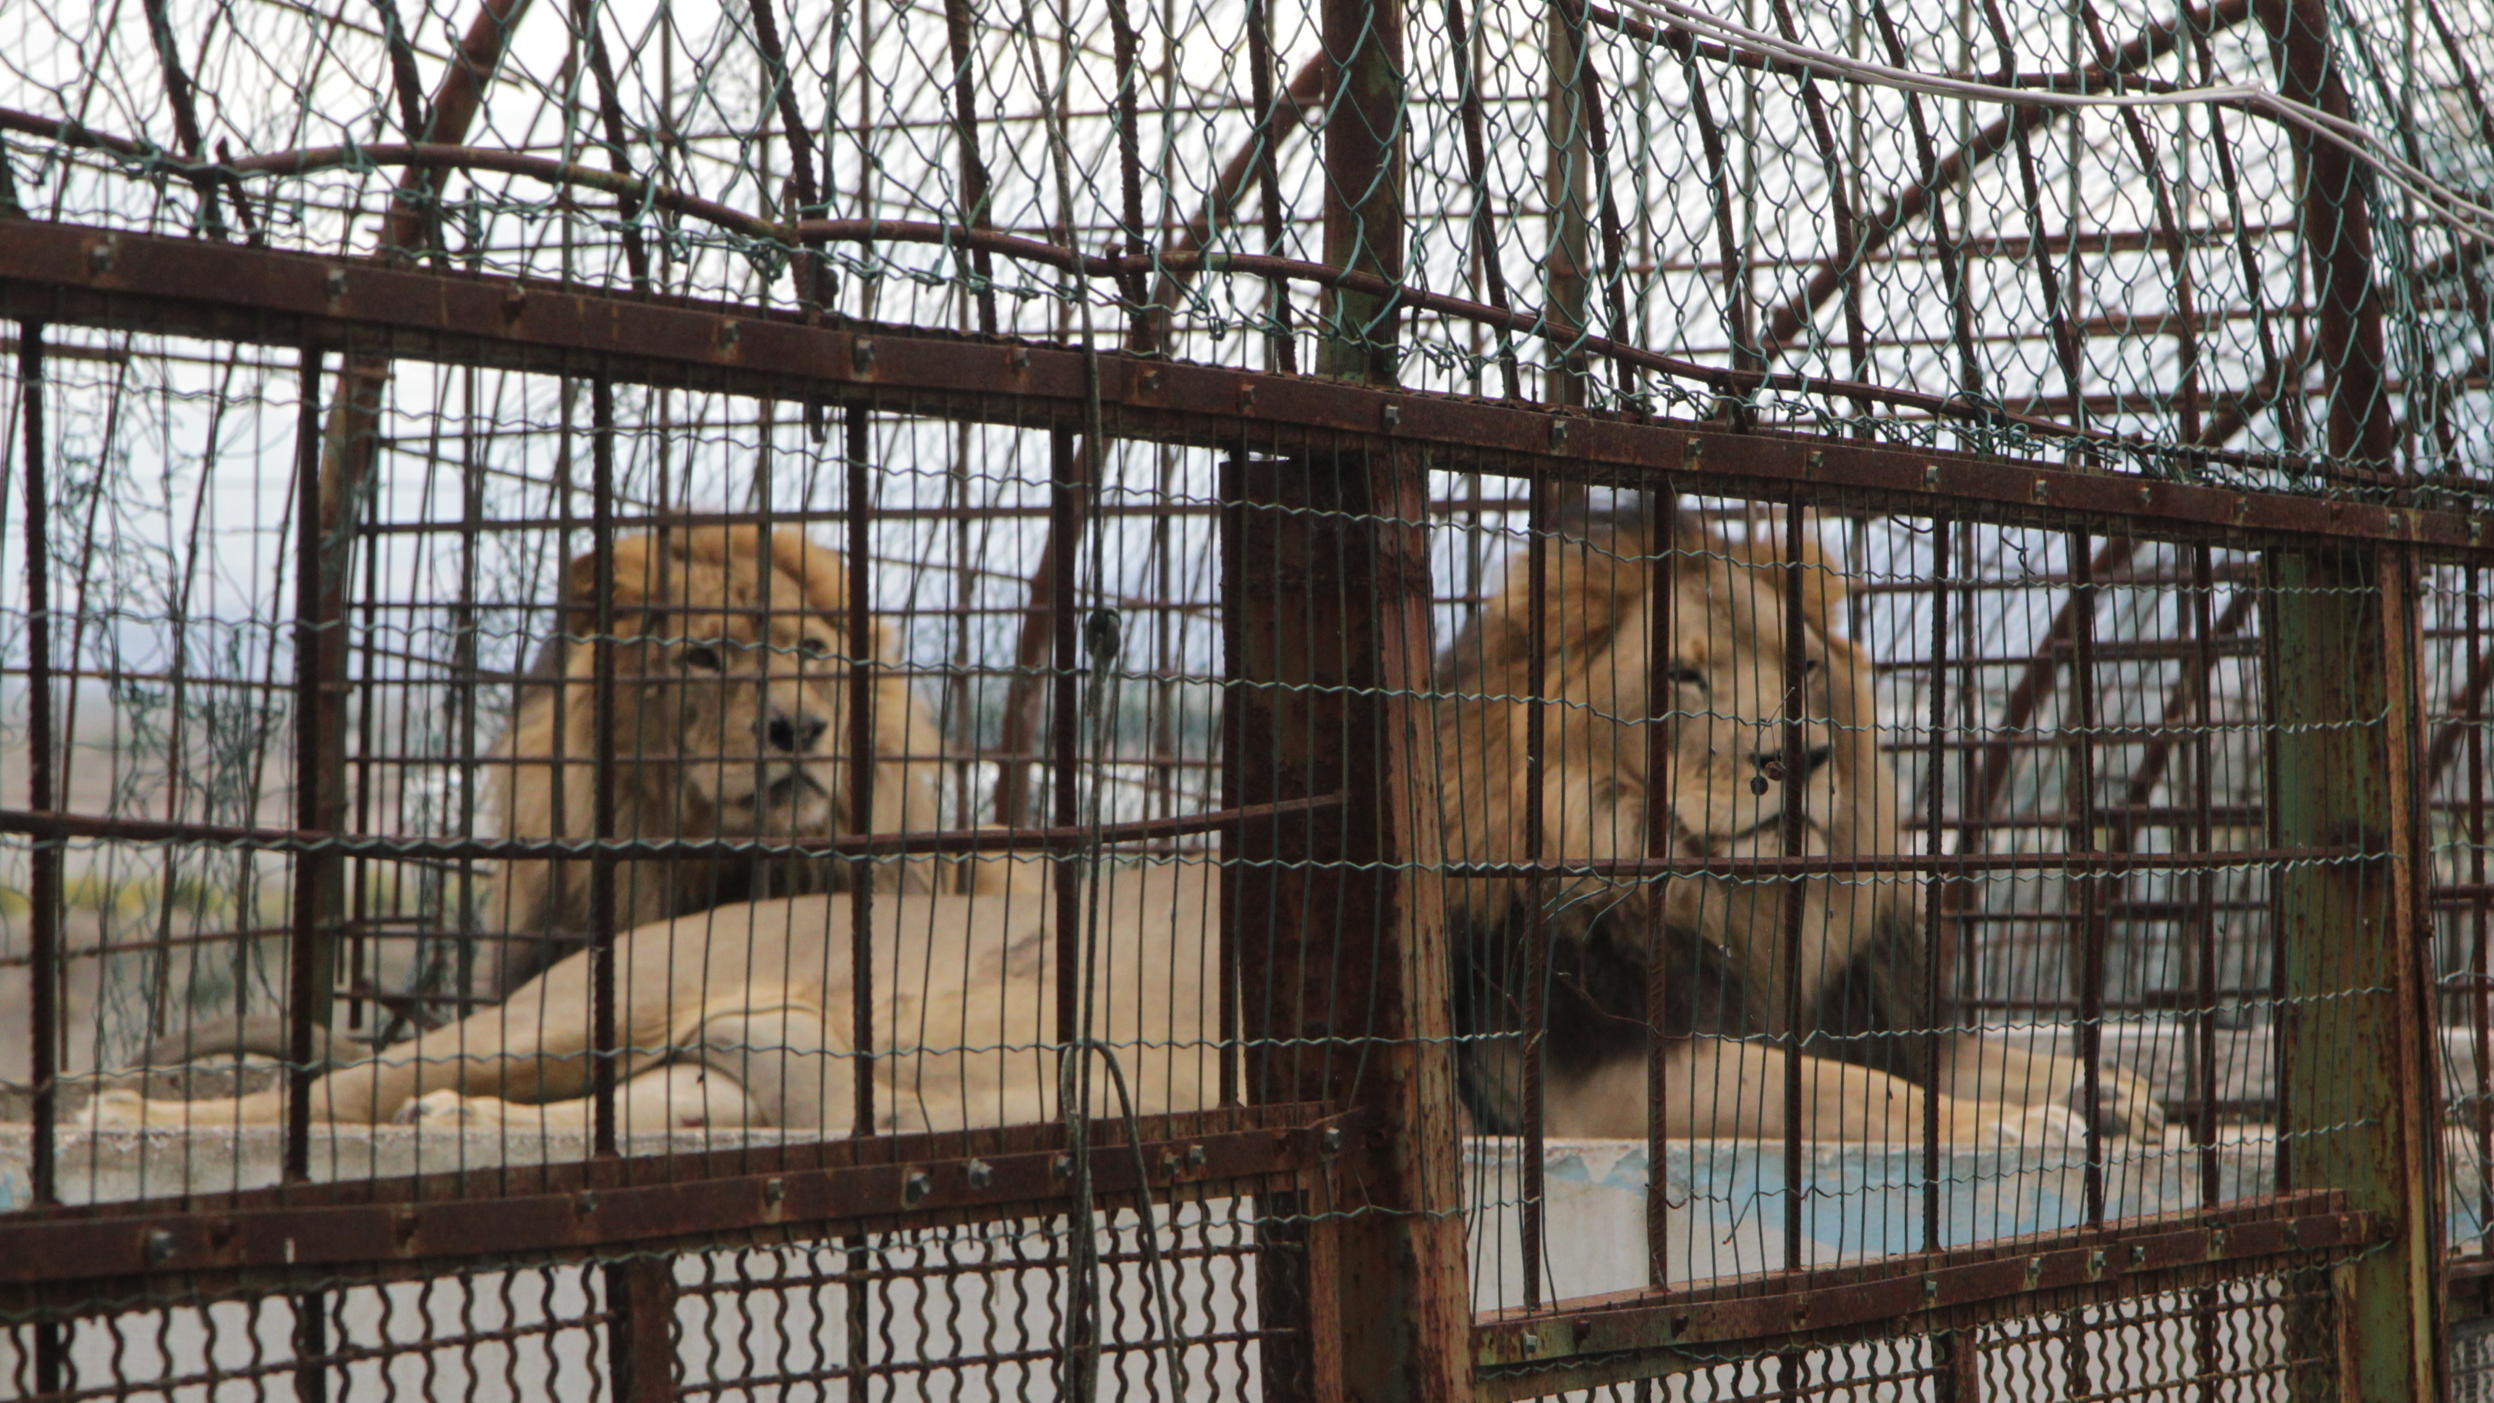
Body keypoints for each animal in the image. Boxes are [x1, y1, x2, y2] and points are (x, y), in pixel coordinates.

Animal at [1446, 510, 2164, 1146]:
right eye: (1681, 674)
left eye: (1805, 668)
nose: (1799, 756)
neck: (1736, 906)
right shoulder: (1599, 1084)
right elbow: (1848, 1088)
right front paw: (2016, 1124)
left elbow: (1966, 1064)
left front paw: (2111, 1095)